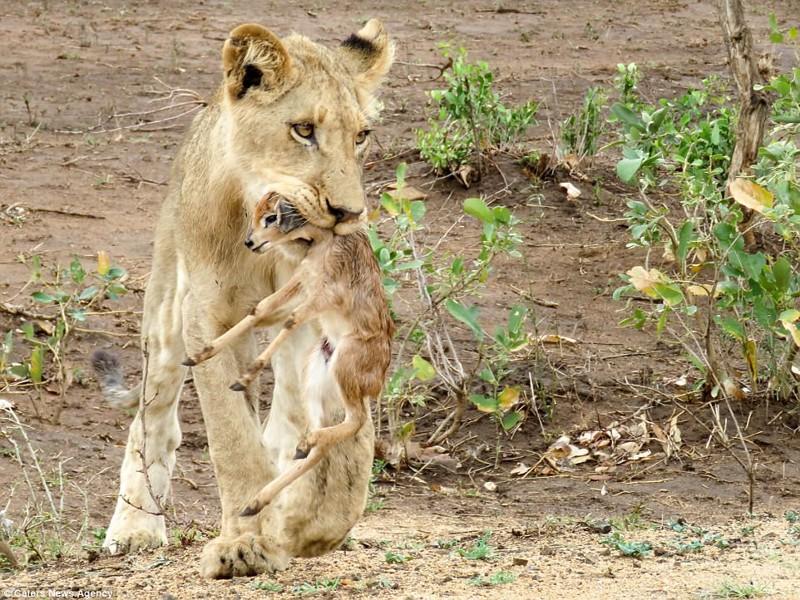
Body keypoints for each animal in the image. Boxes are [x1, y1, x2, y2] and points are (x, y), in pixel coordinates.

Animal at [182, 193, 394, 516]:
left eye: (271, 217)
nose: (250, 242)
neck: (324, 242)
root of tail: (378, 379)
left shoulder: (325, 293)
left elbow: (290, 320)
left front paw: (245, 377)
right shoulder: (302, 281)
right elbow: (261, 309)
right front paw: (199, 355)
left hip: (345, 370)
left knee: (354, 422)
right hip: (316, 383)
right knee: (320, 449)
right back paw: (256, 501)